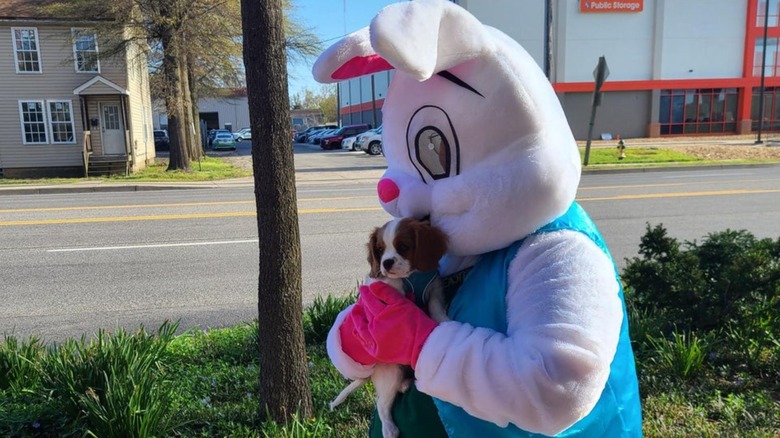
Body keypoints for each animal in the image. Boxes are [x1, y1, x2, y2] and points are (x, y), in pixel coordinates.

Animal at [330, 218, 448, 438]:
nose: (386, 263)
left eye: (403, 247)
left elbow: (435, 305)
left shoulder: (434, 288)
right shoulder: (387, 288)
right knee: (382, 404)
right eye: (379, 250)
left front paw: (443, 319)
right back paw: (389, 429)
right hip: (389, 373)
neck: (412, 276)